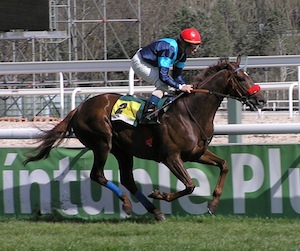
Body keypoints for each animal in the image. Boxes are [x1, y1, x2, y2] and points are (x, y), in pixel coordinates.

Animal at [24, 56, 266, 221]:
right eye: (241, 77)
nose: (262, 99)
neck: (191, 113)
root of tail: (79, 108)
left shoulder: (196, 154)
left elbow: (224, 165)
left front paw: (213, 204)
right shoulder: (170, 157)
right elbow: (189, 185)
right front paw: (160, 194)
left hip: (123, 151)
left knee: (128, 180)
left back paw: (155, 211)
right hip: (102, 143)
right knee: (98, 175)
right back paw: (129, 205)